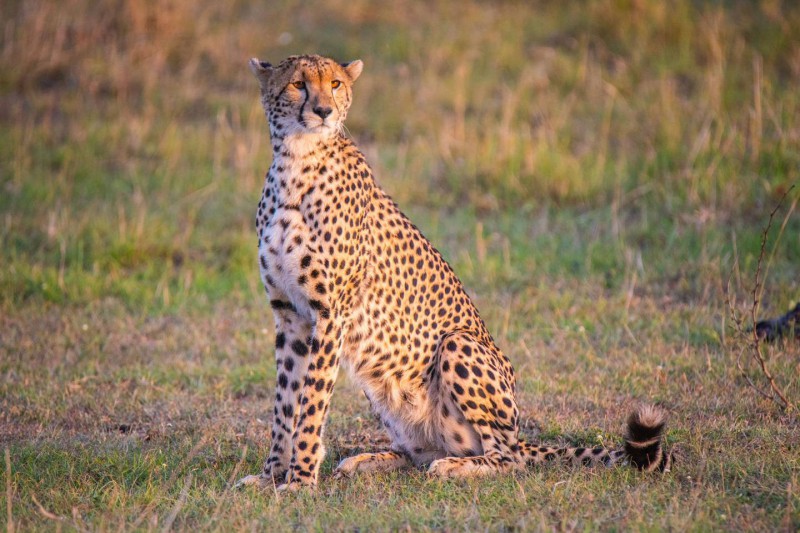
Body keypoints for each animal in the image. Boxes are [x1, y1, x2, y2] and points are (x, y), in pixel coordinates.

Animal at [234, 54, 672, 490]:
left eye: (336, 84)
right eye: (298, 84)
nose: (324, 110)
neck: (296, 161)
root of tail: (519, 435)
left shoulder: (330, 315)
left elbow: (310, 403)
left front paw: (299, 481)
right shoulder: (290, 315)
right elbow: (285, 403)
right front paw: (271, 475)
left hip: (457, 346)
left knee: (508, 458)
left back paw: (458, 467)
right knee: (420, 452)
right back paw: (370, 460)